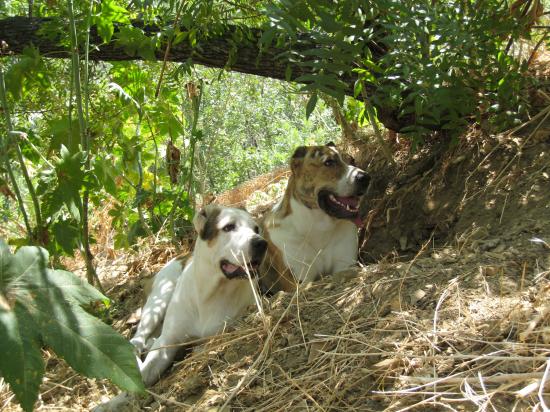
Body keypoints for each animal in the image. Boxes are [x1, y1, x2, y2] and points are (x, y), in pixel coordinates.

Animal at [94, 205, 267, 410]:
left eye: (256, 229)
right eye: (228, 227)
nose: (261, 243)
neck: (212, 292)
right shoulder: (168, 341)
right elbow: (142, 376)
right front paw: (112, 402)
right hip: (160, 297)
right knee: (138, 338)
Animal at [260, 143, 370, 292]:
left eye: (352, 160)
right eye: (329, 162)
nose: (366, 177)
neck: (318, 227)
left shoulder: (345, 264)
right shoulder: (300, 281)